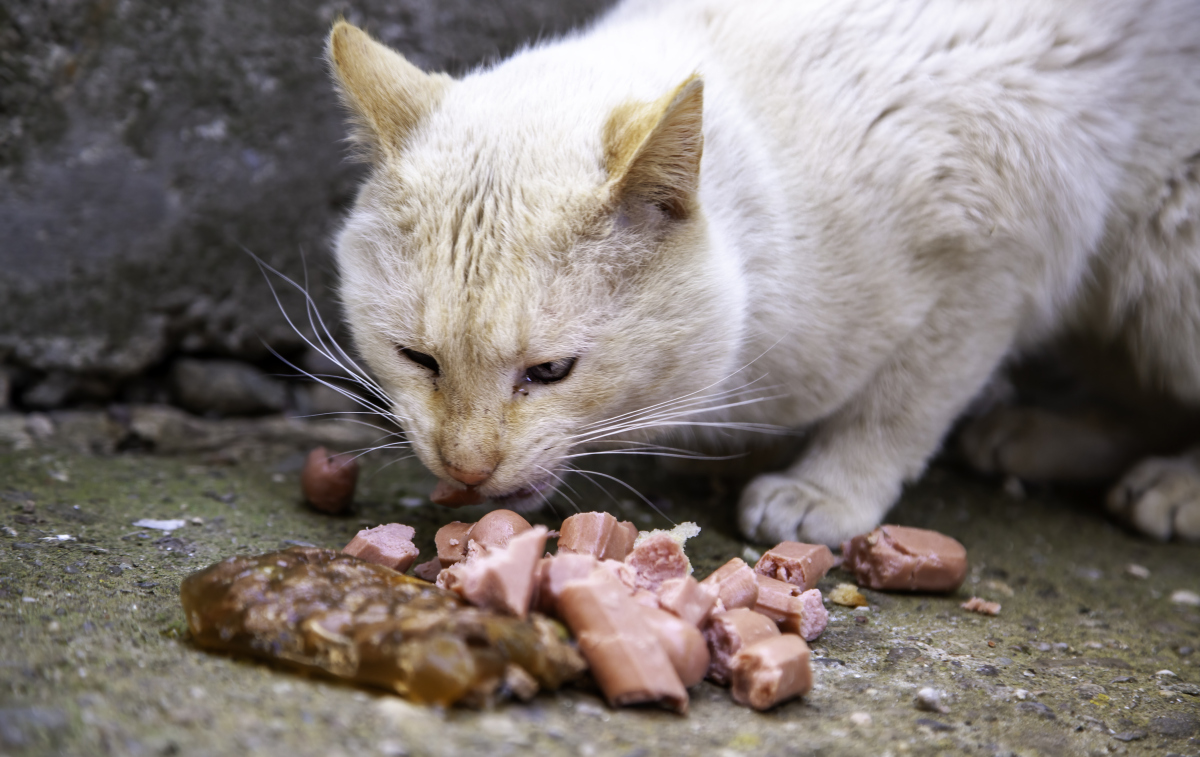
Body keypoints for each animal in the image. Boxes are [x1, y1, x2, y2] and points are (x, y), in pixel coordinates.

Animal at [324, 0, 1200, 544]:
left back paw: (1169, 486)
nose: (465, 467)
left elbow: (900, 402)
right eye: (417, 358)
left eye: (550, 371)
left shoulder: (994, 262)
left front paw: (827, 488)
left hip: (1166, 253)